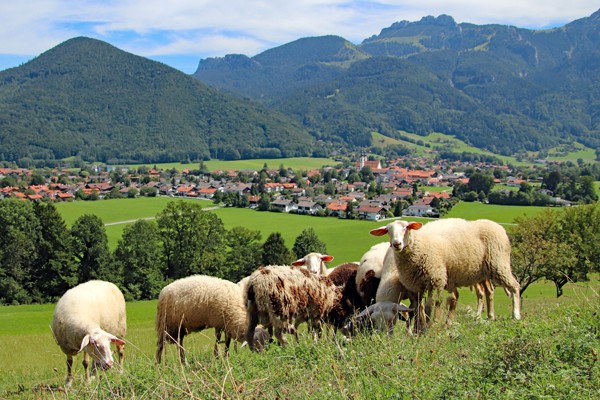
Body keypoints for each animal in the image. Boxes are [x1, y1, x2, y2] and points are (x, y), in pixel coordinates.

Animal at [370, 219, 520, 332]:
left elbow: (431, 305)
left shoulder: (435, 279)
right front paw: (418, 328)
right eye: (388, 230)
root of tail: (498, 226)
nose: (396, 244)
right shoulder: (416, 287)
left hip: (499, 264)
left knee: (515, 287)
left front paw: (427, 327)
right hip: (484, 272)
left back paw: (516, 315)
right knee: (487, 291)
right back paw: (489, 317)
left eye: (406, 228)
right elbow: (418, 308)